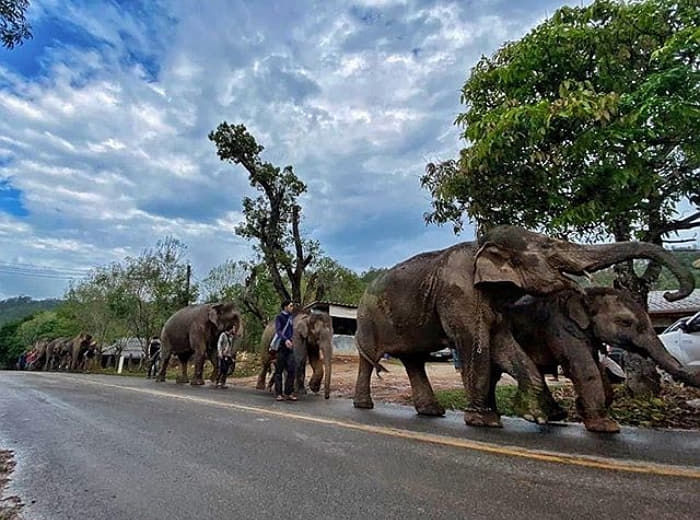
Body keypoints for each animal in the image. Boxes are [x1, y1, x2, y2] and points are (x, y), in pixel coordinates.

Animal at [506, 286, 700, 432]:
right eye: (625, 322)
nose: (668, 295)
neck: (585, 295)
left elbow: (598, 367)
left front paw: (586, 411)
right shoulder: (560, 326)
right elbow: (583, 367)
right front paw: (606, 427)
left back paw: (555, 415)